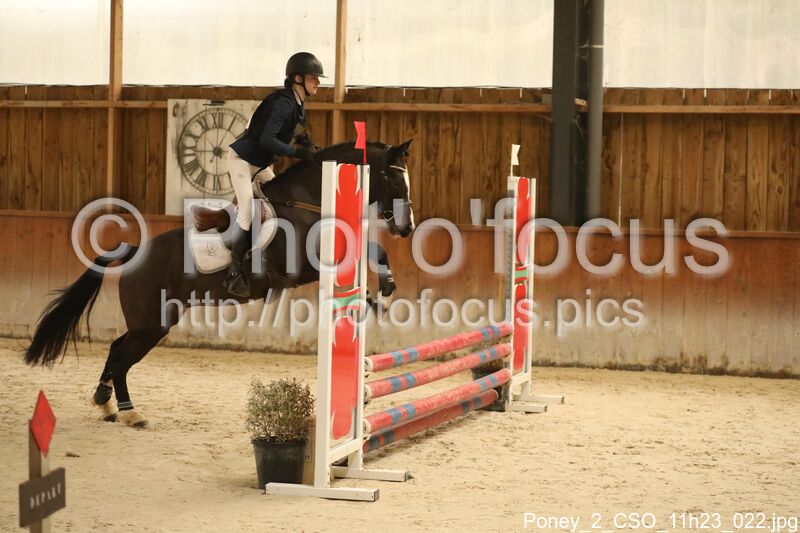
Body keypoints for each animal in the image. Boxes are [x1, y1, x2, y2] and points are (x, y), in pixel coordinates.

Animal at [24, 140, 415, 428]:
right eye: (395, 180)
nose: (407, 227)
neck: (306, 201)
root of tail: (135, 251)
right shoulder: (304, 265)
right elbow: (361, 252)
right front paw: (377, 295)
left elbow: (371, 249)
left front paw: (382, 292)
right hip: (153, 324)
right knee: (121, 358)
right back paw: (130, 412)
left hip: (148, 322)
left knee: (116, 348)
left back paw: (105, 404)